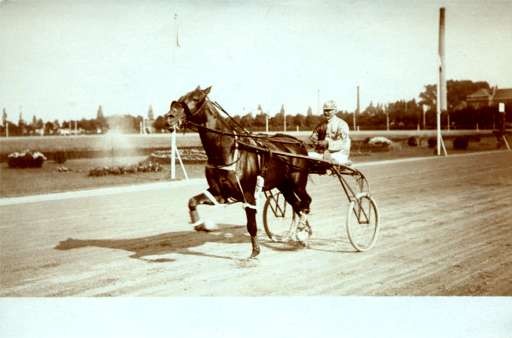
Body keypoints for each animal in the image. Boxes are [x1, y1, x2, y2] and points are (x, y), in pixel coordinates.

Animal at [166, 86, 312, 258]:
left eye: (195, 98)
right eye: (180, 98)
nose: (169, 117)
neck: (227, 151)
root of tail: (297, 143)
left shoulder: (248, 194)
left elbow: (251, 225)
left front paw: (255, 252)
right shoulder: (219, 193)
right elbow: (192, 201)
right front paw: (202, 225)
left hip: (297, 183)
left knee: (305, 202)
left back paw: (302, 231)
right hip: (284, 186)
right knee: (297, 205)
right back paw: (303, 233)